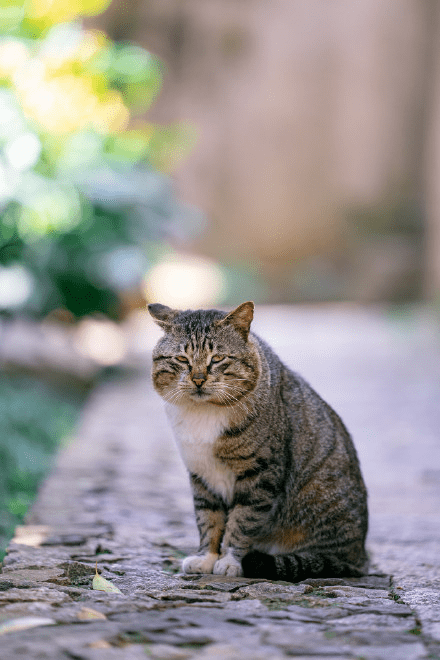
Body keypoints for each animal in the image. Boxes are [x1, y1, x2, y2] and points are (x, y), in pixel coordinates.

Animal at [148, 302, 368, 580]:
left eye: (217, 359)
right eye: (181, 359)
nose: (198, 379)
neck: (204, 413)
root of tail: (360, 557)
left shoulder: (260, 474)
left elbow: (243, 519)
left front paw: (230, 561)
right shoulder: (200, 474)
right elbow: (208, 519)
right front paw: (206, 558)